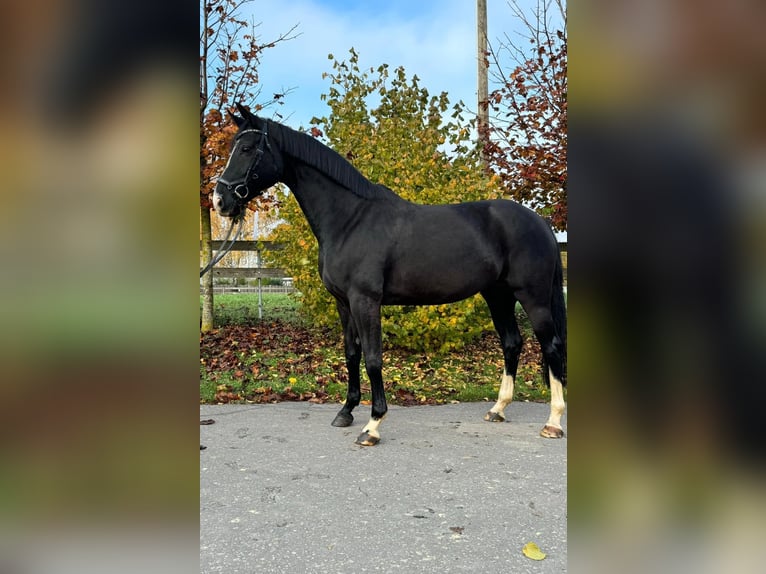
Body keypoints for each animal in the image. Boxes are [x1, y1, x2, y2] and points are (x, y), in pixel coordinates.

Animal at [213, 103, 568, 446]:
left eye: (247, 148)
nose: (220, 200)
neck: (350, 219)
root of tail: (539, 222)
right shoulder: (343, 302)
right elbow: (351, 353)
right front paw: (346, 411)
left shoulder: (365, 300)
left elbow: (373, 358)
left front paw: (372, 425)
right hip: (498, 295)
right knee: (512, 343)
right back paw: (498, 409)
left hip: (532, 298)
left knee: (551, 346)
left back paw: (552, 422)